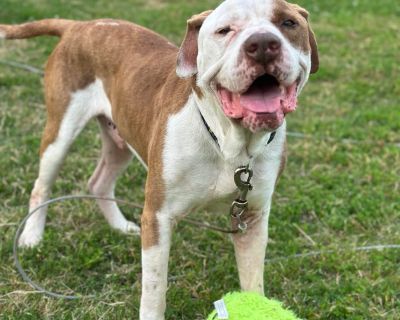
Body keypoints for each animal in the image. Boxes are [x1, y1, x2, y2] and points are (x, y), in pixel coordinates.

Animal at [0, 0, 318, 318]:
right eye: (225, 30)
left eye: (288, 23)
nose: (263, 44)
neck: (229, 145)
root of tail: (79, 26)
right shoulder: (158, 216)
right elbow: (154, 289)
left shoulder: (251, 218)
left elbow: (253, 281)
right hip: (60, 133)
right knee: (41, 185)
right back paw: (31, 237)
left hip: (121, 140)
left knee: (98, 182)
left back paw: (119, 225)